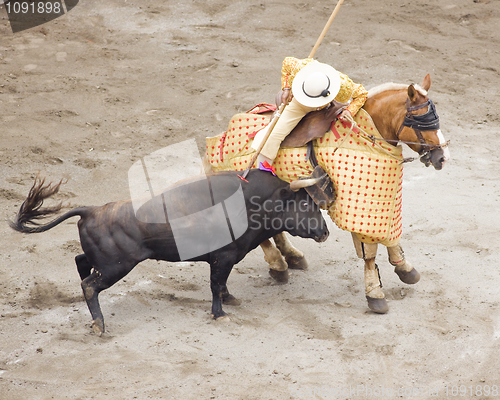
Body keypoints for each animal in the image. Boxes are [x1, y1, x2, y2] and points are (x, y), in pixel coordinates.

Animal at [8, 169, 328, 334]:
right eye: (305, 204)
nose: (324, 232)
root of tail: (92, 210)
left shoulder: (225, 258)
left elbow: (222, 283)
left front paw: (230, 300)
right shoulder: (222, 256)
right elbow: (215, 283)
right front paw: (219, 314)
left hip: (106, 261)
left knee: (80, 262)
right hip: (116, 266)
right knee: (89, 285)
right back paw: (99, 325)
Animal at [206, 74, 450, 312]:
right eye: (421, 121)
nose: (442, 158)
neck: (367, 136)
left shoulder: (386, 201)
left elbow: (392, 236)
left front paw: (405, 269)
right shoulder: (358, 208)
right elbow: (369, 251)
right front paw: (375, 294)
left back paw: (292, 257)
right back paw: (278, 265)